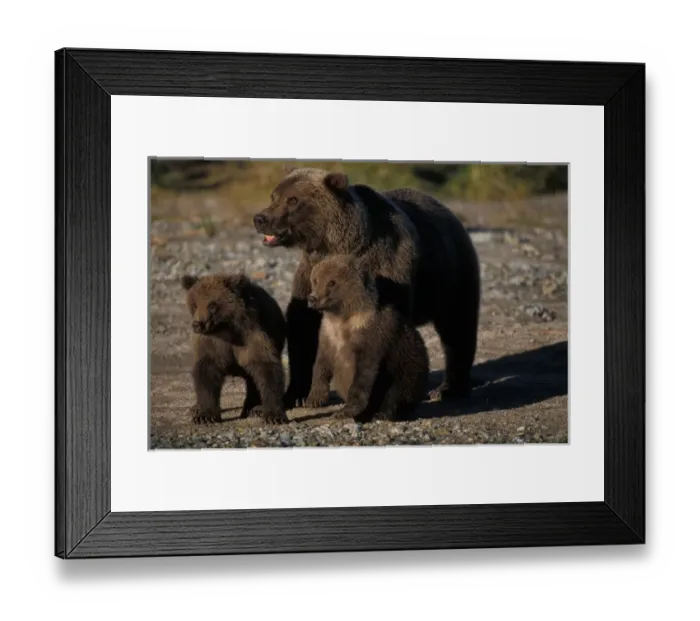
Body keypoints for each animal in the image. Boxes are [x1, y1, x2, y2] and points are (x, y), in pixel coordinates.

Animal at [181, 273, 288, 425]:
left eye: (212, 304)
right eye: (194, 304)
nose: (197, 324)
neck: (225, 328)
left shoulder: (251, 336)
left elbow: (266, 368)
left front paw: (274, 416)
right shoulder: (212, 343)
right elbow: (206, 373)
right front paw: (204, 415)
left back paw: (253, 409)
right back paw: (195, 408)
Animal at [305, 254, 428, 423]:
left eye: (332, 282)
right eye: (315, 280)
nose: (312, 298)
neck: (342, 318)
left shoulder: (372, 335)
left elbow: (364, 372)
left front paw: (344, 411)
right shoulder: (328, 333)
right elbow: (322, 362)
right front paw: (314, 399)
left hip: (409, 365)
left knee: (399, 391)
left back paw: (382, 413)